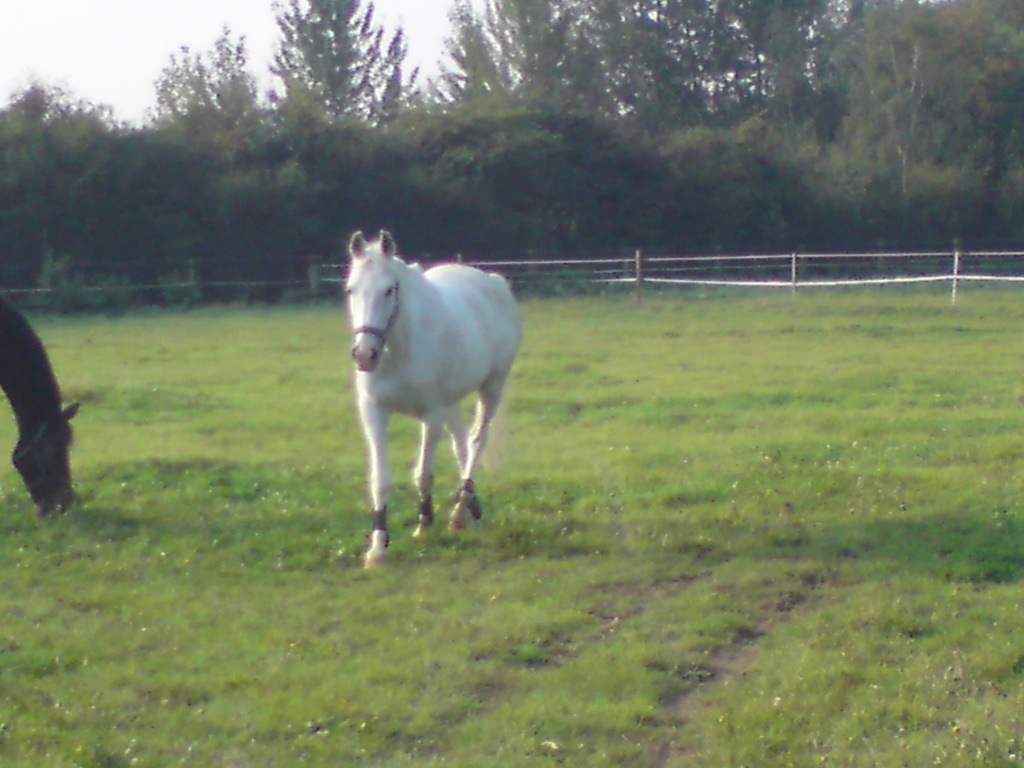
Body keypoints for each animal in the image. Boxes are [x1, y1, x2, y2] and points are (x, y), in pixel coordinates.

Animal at [344, 230, 522, 567]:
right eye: (351, 289)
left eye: (390, 289)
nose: (364, 355)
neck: (400, 349)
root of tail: (493, 282)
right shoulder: (374, 412)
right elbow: (380, 478)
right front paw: (378, 546)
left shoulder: (432, 415)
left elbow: (424, 473)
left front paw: (424, 525)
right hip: (453, 403)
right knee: (461, 445)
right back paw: (470, 510)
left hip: (492, 388)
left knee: (477, 441)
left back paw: (459, 513)